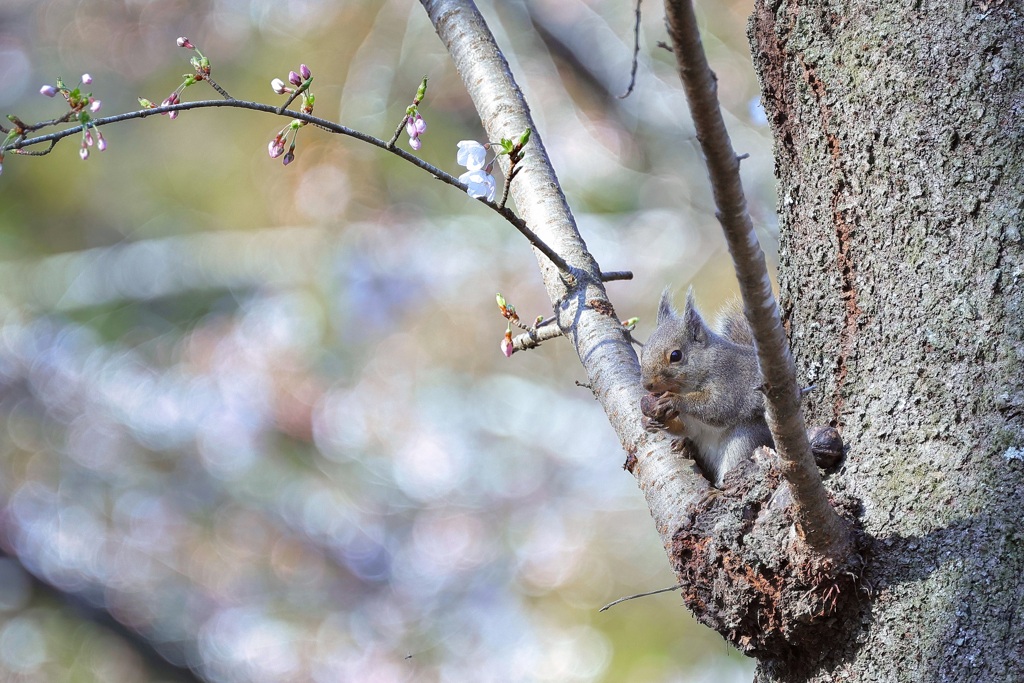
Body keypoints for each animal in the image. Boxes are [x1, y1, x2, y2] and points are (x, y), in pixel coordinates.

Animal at [634, 288, 770, 485]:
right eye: (643, 352)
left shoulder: (731, 382)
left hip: (747, 437)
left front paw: (676, 401)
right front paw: (647, 421)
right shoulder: (691, 423)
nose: (647, 384)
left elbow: (718, 407)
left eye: (675, 355)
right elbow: (688, 428)